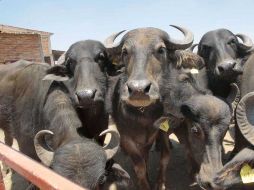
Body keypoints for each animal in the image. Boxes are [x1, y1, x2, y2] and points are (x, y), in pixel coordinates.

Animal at [104, 25, 193, 190]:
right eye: (125, 52)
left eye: (161, 49)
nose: (138, 89)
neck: (142, 117)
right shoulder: (126, 137)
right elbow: (139, 165)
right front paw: (144, 183)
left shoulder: (154, 134)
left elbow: (153, 158)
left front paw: (154, 181)